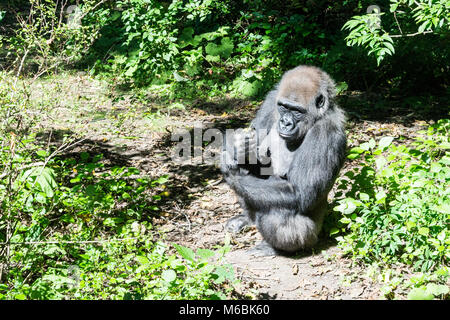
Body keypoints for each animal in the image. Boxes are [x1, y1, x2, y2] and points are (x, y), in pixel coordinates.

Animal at [220, 64, 346, 255]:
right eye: (283, 107)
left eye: (297, 111)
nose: (285, 123)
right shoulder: (271, 100)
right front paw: (238, 149)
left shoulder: (326, 132)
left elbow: (299, 193)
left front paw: (232, 174)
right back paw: (247, 220)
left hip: (310, 238)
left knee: (277, 211)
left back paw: (274, 248)